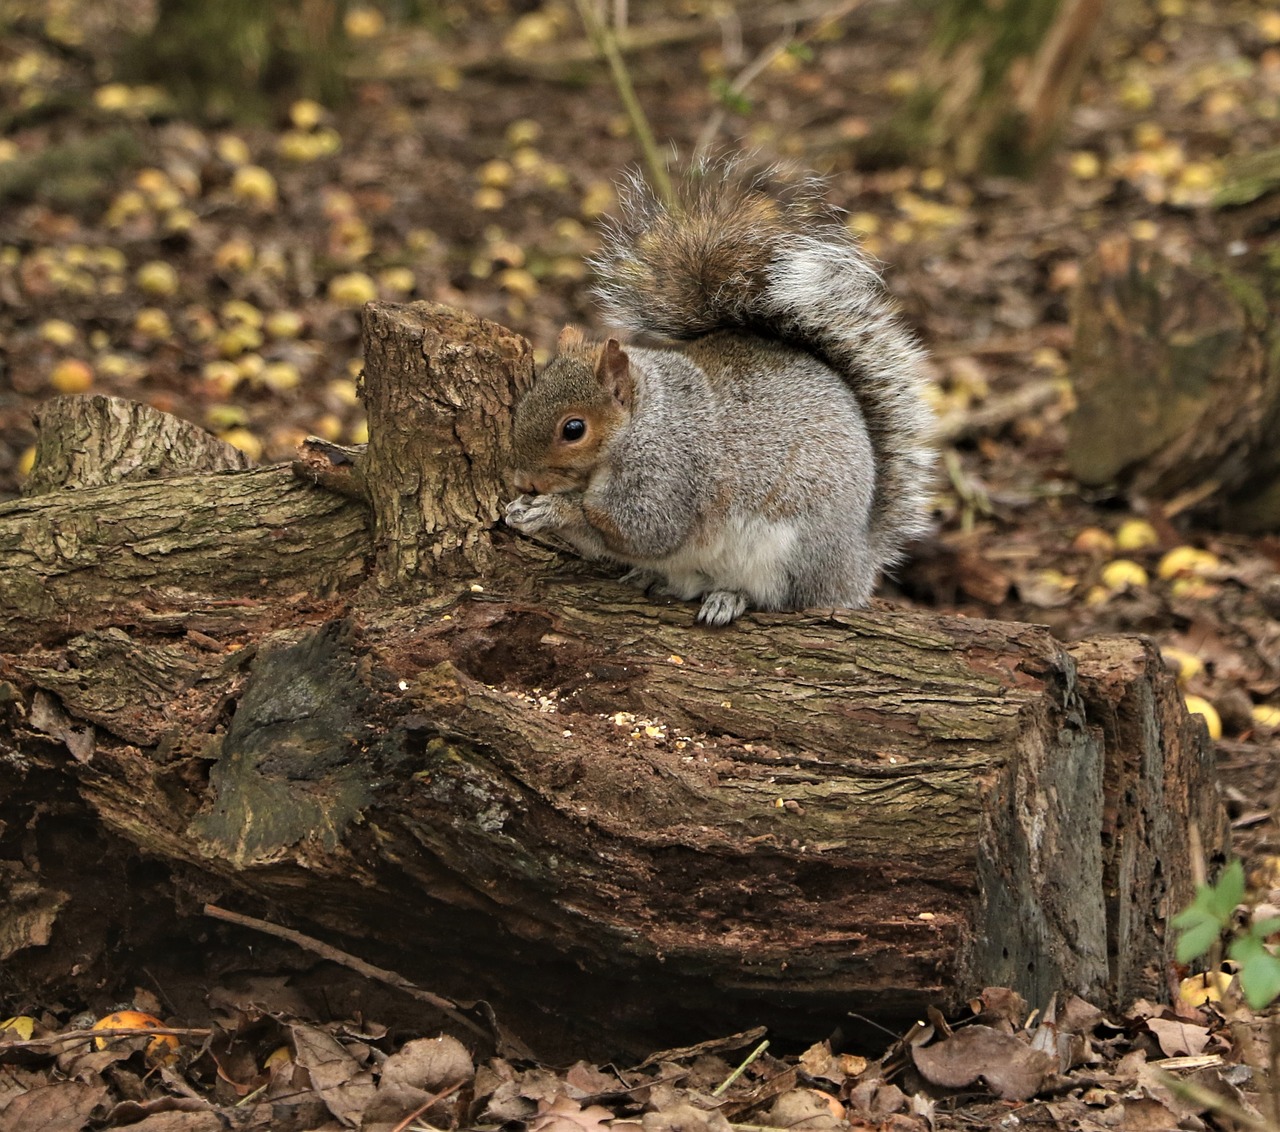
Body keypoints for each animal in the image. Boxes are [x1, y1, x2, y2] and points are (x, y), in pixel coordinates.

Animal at [504, 156, 936, 627]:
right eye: (522, 405)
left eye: (574, 429)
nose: (523, 482)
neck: (643, 420)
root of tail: (856, 563)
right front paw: (521, 509)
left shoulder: (670, 474)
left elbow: (640, 530)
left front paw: (552, 509)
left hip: (790, 554)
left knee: (779, 597)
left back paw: (729, 597)